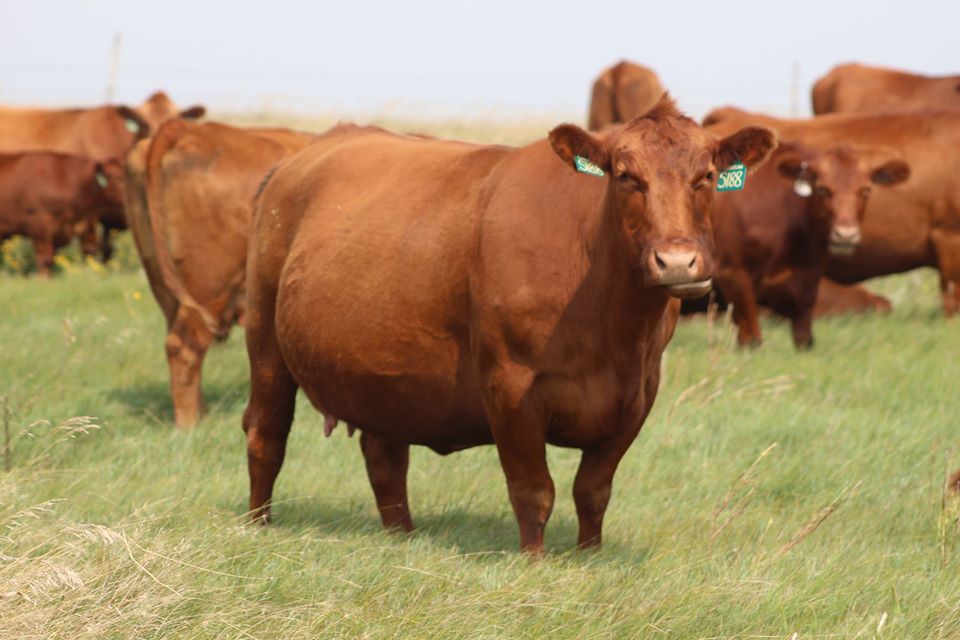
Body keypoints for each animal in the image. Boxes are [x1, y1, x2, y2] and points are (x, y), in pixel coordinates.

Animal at [242, 96, 777, 553]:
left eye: (707, 176)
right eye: (626, 177)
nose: (677, 262)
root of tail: (304, 154)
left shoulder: (638, 393)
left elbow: (594, 490)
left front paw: (590, 556)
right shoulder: (510, 385)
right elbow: (533, 489)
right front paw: (533, 562)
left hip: (384, 373)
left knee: (385, 458)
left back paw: (401, 537)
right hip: (265, 340)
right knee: (266, 435)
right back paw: (257, 526)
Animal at [709, 140, 908, 347]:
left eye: (866, 190)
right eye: (822, 189)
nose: (846, 235)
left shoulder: (806, 289)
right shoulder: (733, 274)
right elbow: (752, 340)